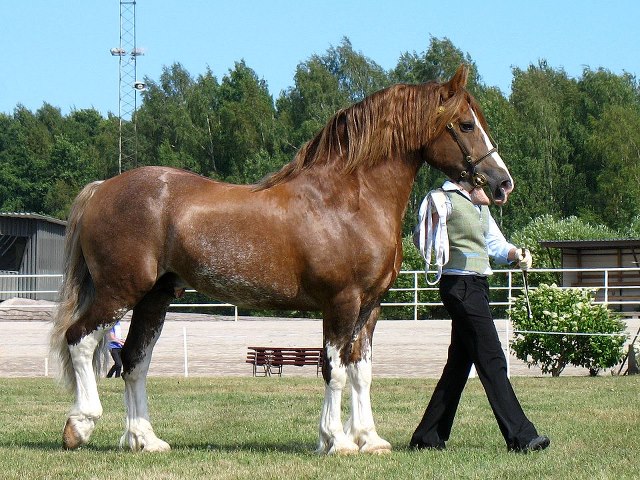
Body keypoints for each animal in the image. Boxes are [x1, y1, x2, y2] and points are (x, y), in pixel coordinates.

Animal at [50, 64, 513, 454]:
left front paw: (369, 439)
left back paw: (144, 439)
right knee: (80, 340)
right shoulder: (341, 302)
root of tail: (103, 188)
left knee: (134, 361)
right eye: (467, 124)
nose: (502, 183)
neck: (349, 200)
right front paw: (336, 441)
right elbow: (335, 370)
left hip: (154, 298)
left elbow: (360, 371)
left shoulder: (370, 307)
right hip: (119, 291)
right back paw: (81, 424)